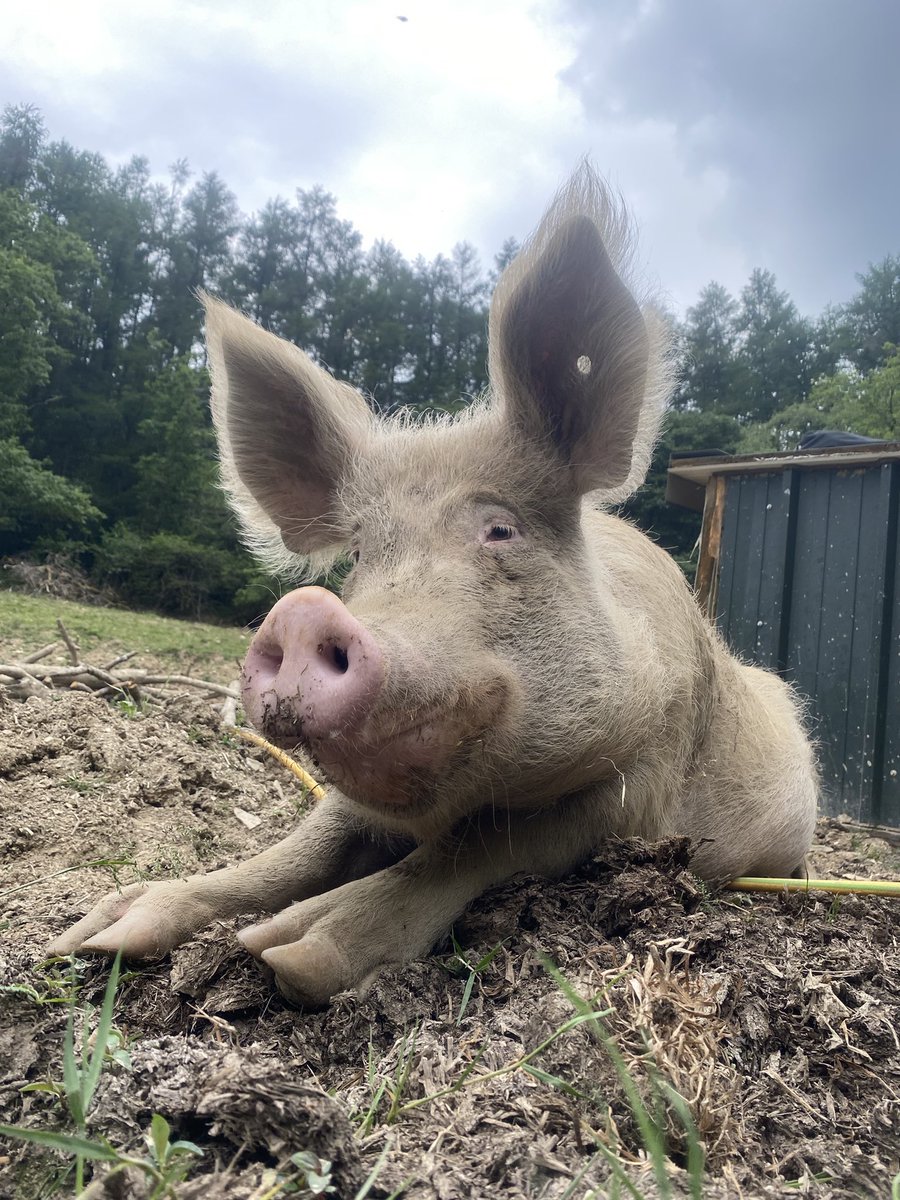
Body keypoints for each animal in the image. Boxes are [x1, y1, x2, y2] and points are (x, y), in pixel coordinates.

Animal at [49, 167, 818, 1005]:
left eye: (499, 529)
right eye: (359, 553)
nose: (301, 613)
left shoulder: (643, 778)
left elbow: (482, 844)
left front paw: (281, 952)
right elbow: (304, 844)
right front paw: (89, 938)